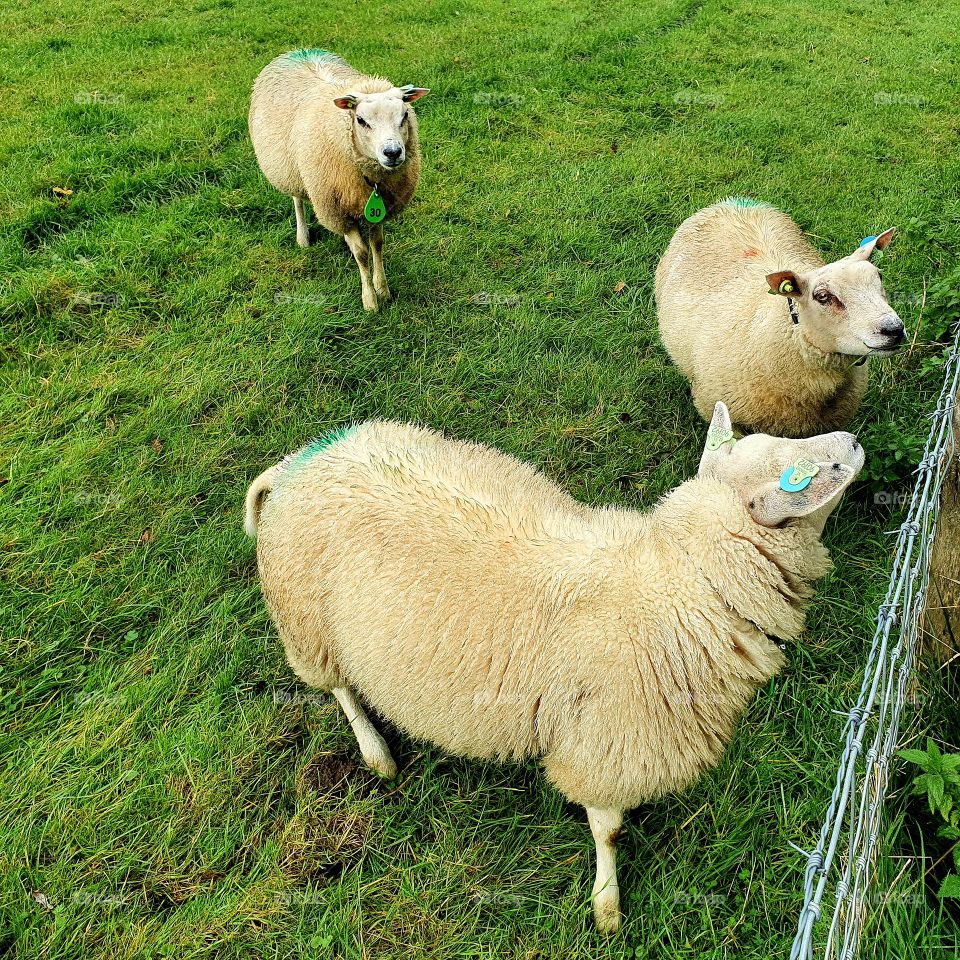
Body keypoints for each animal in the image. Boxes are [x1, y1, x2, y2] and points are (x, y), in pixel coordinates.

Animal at [244, 404, 863, 932]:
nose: (855, 442)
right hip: (307, 623)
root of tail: (294, 467)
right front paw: (607, 906)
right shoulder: (606, 740)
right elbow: (607, 830)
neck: (684, 578)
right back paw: (376, 753)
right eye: (802, 476)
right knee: (341, 690)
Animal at [249, 49, 428, 312]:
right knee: (298, 199)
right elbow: (362, 253)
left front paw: (383, 290)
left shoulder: (377, 209)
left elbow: (377, 243)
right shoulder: (334, 207)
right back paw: (303, 237)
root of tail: (298, 50)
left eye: (405, 115)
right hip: (293, 170)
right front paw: (370, 300)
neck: (371, 182)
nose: (393, 152)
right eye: (361, 120)